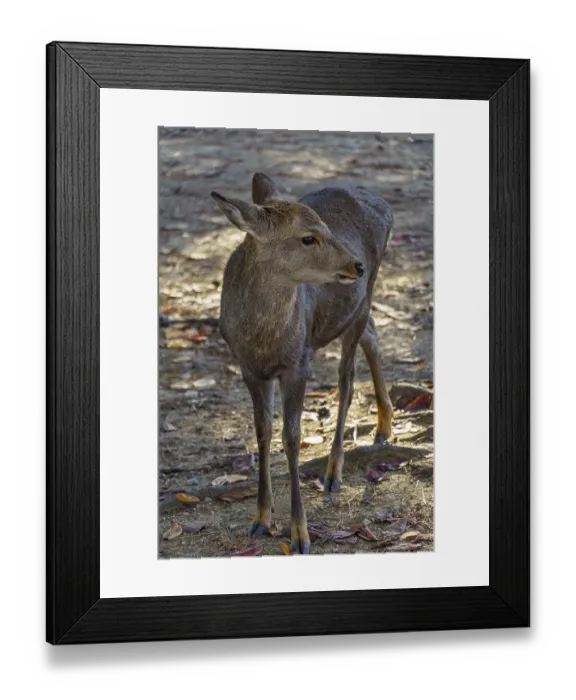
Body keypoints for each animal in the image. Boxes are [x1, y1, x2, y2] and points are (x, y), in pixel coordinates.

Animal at [212, 173, 394, 554]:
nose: (356, 264)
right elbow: (262, 432)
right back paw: (385, 424)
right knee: (373, 334)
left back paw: (334, 472)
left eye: (324, 227)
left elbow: (292, 438)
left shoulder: (298, 362)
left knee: (347, 381)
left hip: (365, 296)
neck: (263, 340)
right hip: (354, 309)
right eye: (308, 237)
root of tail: (385, 205)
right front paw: (261, 520)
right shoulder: (249, 368)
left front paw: (300, 534)